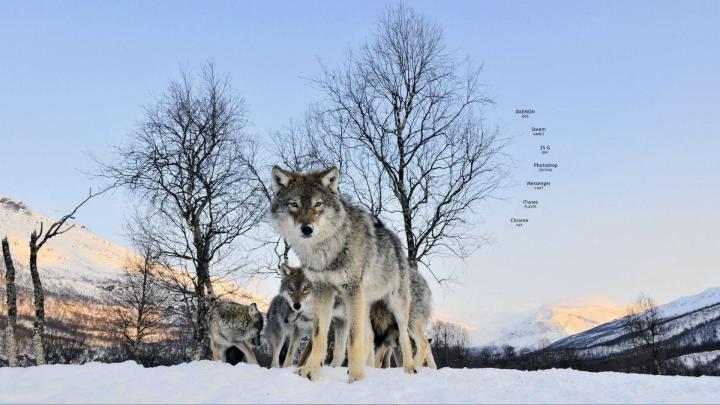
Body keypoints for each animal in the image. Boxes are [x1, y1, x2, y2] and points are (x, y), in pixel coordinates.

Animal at [270, 165, 417, 382]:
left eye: (318, 204)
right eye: (294, 204)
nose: (307, 229)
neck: (325, 251)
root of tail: (395, 240)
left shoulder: (351, 290)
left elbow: (353, 340)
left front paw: (357, 377)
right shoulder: (322, 290)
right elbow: (319, 336)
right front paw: (310, 371)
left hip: (395, 304)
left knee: (404, 337)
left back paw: (410, 368)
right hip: (363, 305)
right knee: (369, 337)